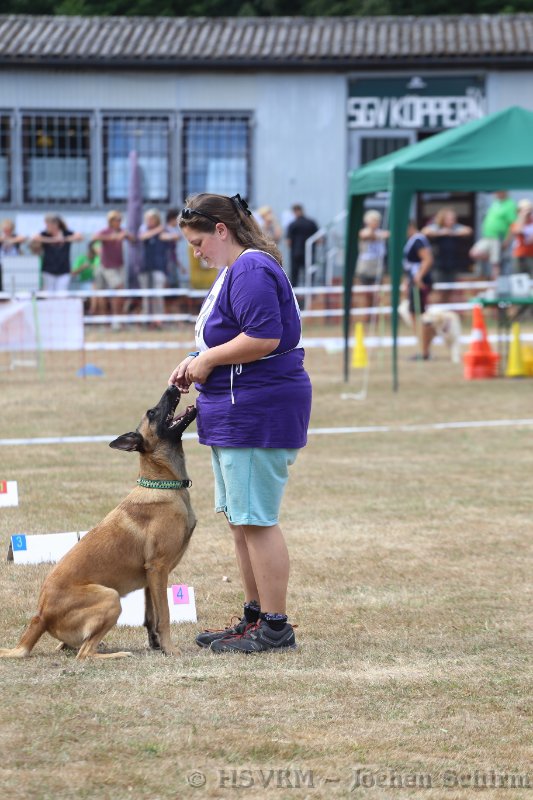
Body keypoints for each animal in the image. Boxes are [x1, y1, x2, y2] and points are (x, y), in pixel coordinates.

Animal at [0, 385, 196, 660]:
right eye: (152, 412)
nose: (173, 386)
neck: (163, 484)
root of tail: (40, 616)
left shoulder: (150, 577)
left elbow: (151, 618)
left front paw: (157, 644)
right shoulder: (158, 569)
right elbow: (165, 615)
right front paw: (170, 648)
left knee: (71, 646)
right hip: (111, 597)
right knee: (84, 653)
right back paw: (117, 655)